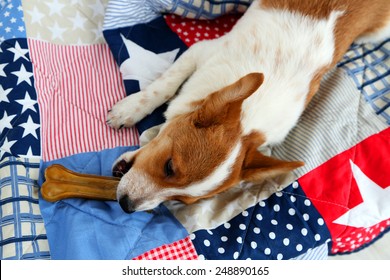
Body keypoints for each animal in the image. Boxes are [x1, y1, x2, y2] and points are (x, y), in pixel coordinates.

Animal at [106, 0, 390, 213]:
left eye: (180, 200)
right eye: (169, 166)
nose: (126, 205)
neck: (249, 117)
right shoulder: (202, 50)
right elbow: (165, 84)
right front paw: (130, 109)